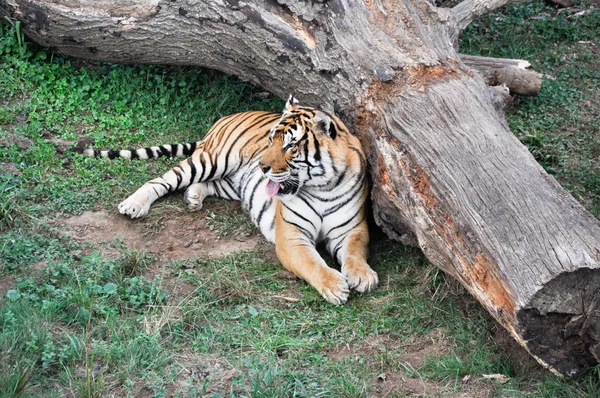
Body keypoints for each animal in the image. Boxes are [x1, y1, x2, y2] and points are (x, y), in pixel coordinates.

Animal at [85, 96, 376, 304]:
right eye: (271, 139)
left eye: (291, 145)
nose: (261, 166)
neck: (322, 187)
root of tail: (228, 115)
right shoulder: (292, 237)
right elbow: (312, 263)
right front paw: (335, 286)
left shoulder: (352, 229)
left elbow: (354, 252)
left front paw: (363, 276)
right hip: (211, 160)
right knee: (162, 180)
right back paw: (133, 205)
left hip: (232, 181)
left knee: (206, 185)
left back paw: (193, 197)